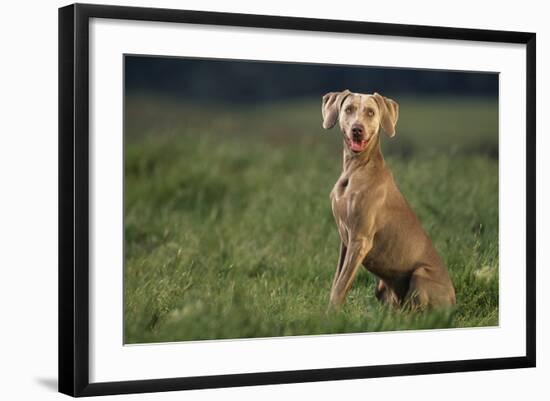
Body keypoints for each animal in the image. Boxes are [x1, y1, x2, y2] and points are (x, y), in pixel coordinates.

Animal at [324, 90, 458, 310]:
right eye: (349, 109)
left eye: (370, 112)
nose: (357, 130)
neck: (357, 168)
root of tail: (454, 301)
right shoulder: (345, 240)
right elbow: (337, 281)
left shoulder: (359, 240)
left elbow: (341, 286)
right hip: (382, 287)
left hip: (421, 275)